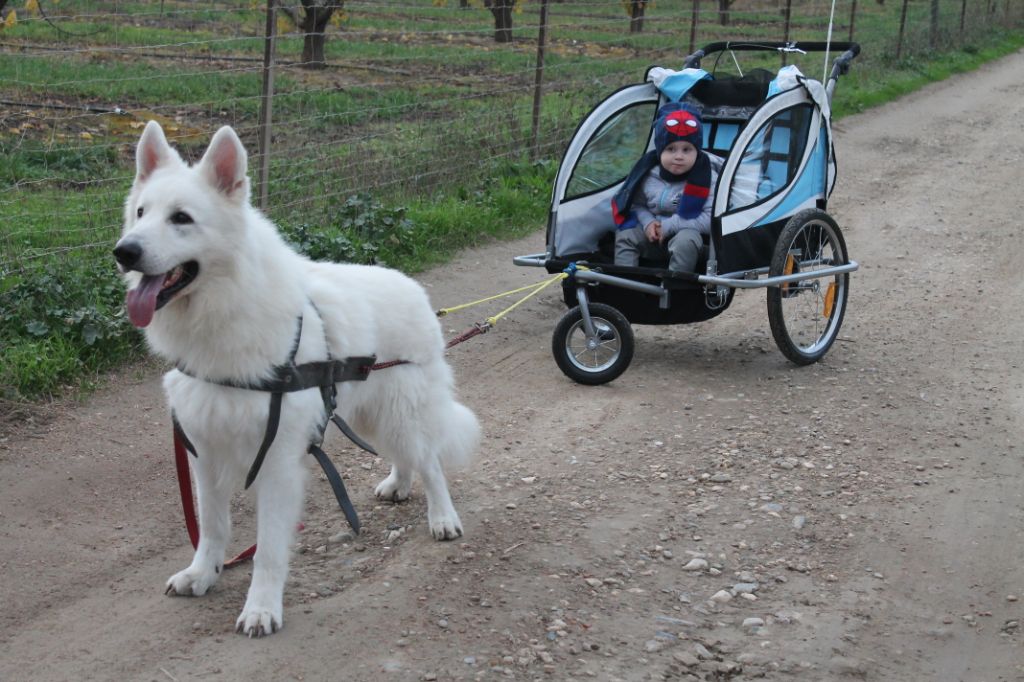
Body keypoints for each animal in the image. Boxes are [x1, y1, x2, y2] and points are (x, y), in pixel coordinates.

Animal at [114, 119, 481, 634]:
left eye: (181, 218)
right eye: (141, 213)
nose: (124, 252)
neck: (228, 309)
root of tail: (415, 290)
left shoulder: (277, 463)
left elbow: (268, 548)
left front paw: (262, 608)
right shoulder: (205, 454)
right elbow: (212, 528)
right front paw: (202, 574)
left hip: (402, 413)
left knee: (430, 461)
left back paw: (442, 516)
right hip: (368, 413)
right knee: (406, 457)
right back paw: (398, 484)